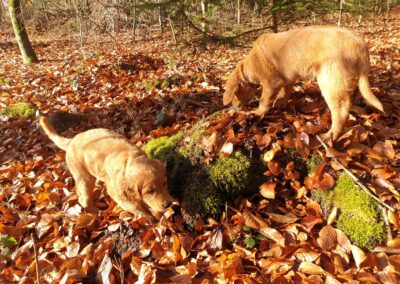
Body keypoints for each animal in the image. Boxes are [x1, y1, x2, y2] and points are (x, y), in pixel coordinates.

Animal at [38, 115, 173, 220]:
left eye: (165, 183)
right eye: (150, 191)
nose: (168, 204)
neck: (130, 160)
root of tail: (72, 140)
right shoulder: (117, 192)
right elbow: (133, 206)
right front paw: (146, 217)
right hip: (84, 176)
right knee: (84, 199)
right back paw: (97, 212)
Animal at [223, 25, 382, 140]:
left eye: (235, 95)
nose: (235, 108)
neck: (250, 65)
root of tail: (361, 44)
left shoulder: (270, 83)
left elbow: (264, 100)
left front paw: (257, 113)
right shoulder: (287, 80)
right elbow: (283, 94)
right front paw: (278, 105)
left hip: (329, 80)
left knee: (341, 111)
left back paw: (331, 135)